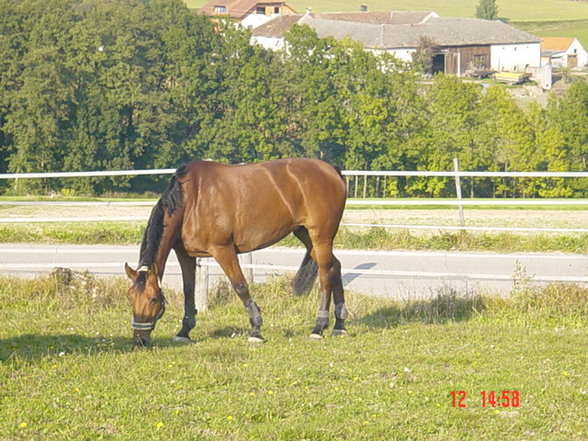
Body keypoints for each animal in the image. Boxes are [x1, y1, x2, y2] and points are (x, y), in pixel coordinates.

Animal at [123, 156, 344, 346]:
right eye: (130, 298)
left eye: (153, 299)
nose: (140, 340)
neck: (191, 201)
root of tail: (332, 169)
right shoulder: (185, 254)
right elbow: (189, 290)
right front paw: (184, 331)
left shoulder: (223, 250)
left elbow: (240, 286)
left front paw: (256, 329)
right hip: (305, 235)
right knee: (335, 267)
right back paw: (339, 325)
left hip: (320, 237)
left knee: (325, 274)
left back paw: (318, 327)